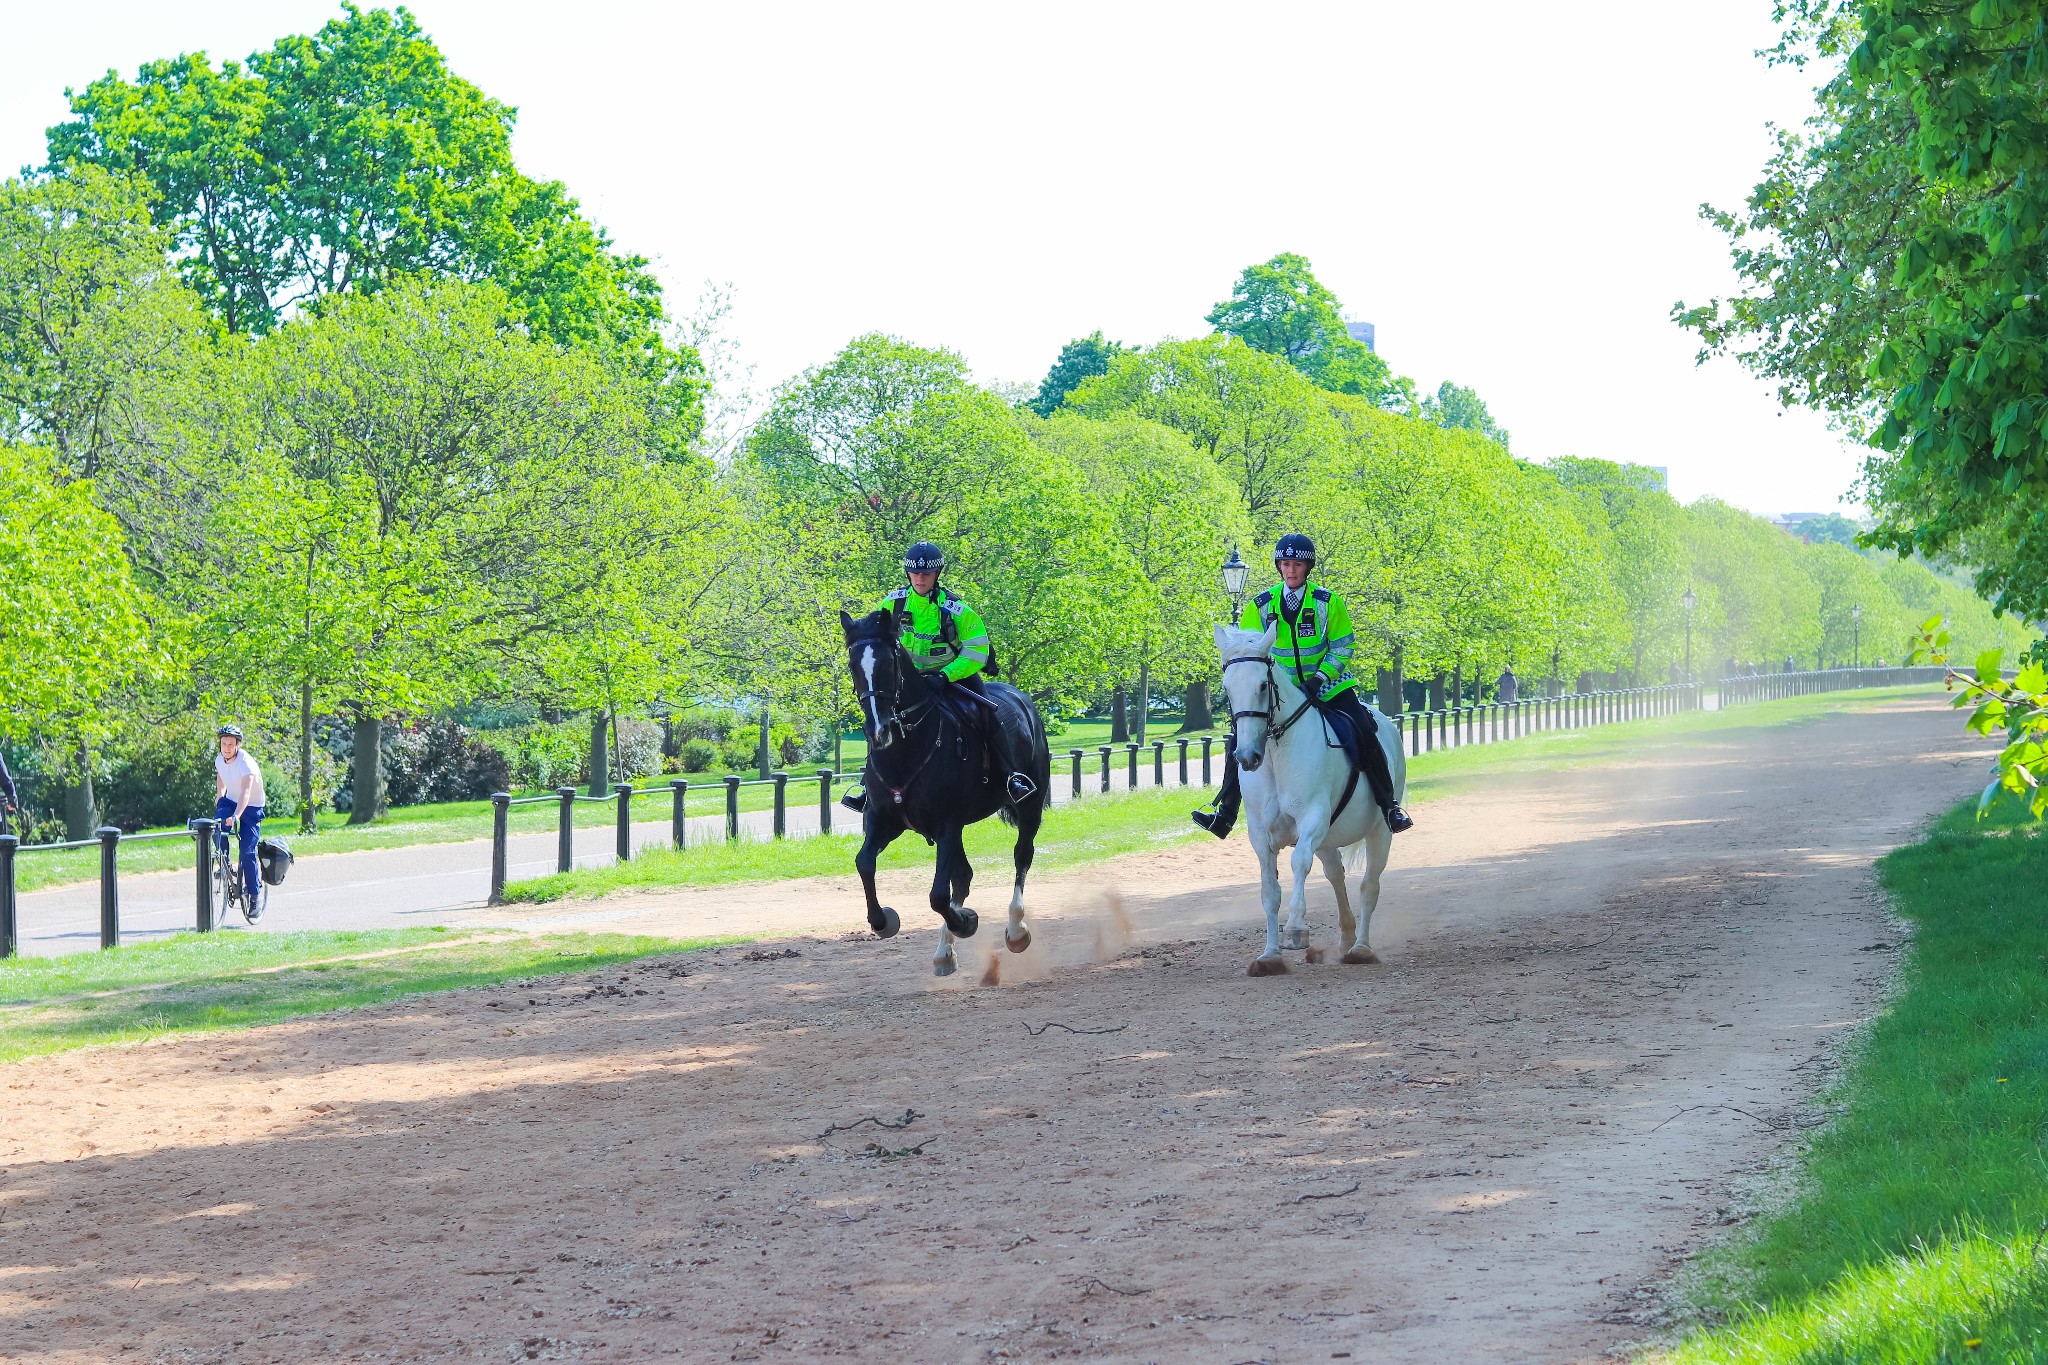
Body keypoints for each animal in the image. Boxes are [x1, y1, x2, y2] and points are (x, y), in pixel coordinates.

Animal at [839, 605, 1056, 970]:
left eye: (888, 664)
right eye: (854, 665)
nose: (878, 729)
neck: (907, 748)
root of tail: (1021, 698)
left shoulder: (947, 824)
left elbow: (939, 895)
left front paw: (965, 921)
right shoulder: (884, 820)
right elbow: (865, 863)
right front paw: (883, 921)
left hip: (1029, 807)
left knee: (1021, 857)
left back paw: (1014, 930)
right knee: (964, 876)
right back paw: (945, 951)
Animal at [1212, 626, 1409, 978]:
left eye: (1262, 685)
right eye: (1228, 688)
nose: (1247, 757)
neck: (1275, 754)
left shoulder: (1312, 819)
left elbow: (1298, 864)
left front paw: (1295, 929)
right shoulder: (1260, 835)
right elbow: (1269, 891)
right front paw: (1270, 956)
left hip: (1378, 832)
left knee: (1369, 886)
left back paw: (1360, 948)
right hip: (1327, 840)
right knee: (1336, 875)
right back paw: (1347, 936)